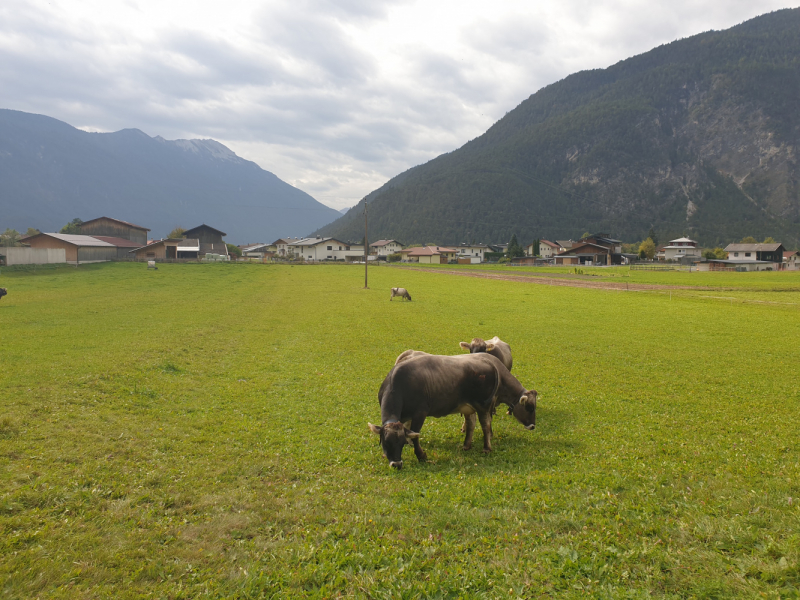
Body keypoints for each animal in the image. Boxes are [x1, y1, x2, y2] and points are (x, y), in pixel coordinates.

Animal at [368, 352, 536, 468]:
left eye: (400, 442)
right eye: (386, 442)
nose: (396, 464)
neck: (400, 384)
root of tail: (489, 364)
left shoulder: (420, 414)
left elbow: (416, 436)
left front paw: (421, 455)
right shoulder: (404, 417)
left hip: (483, 406)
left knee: (485, 424)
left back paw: (487, 447)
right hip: (470, 407)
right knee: (472, 424)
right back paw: (466, 445)